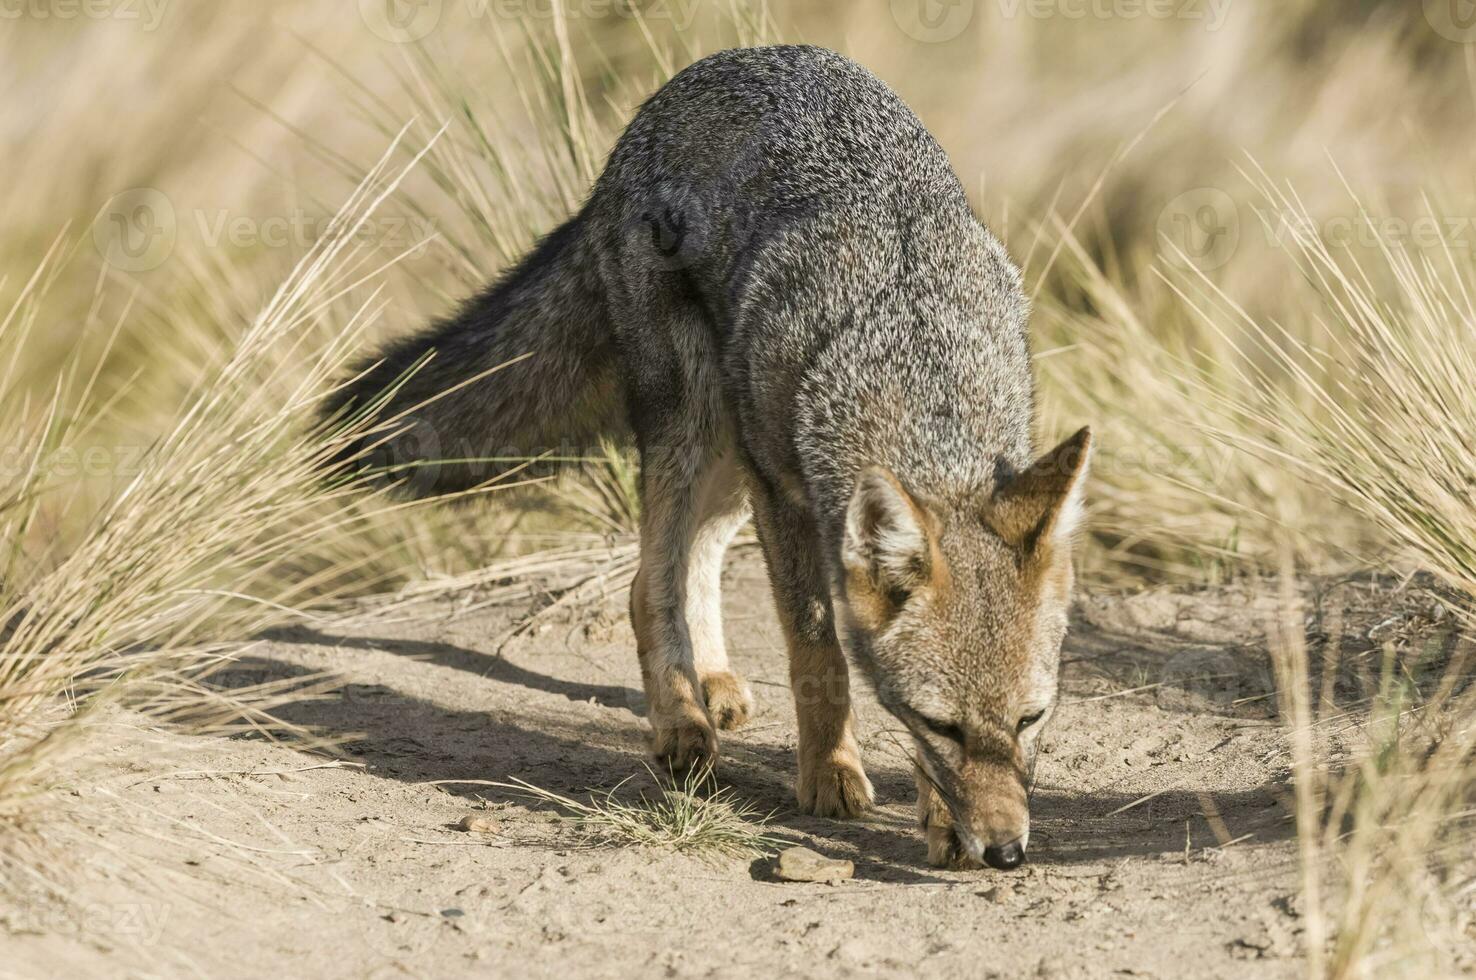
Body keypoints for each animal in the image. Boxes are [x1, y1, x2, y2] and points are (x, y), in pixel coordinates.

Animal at [323, 47, 1086, 873]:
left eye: (1031, 720)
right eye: (942, 724)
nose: (1006, 851)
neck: (914, 357)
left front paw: (941, 821)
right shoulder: (787, 497)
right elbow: (818, 655)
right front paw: (830, 774)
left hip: (729, 453)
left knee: (686, 559)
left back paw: (710, 678)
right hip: (697, 425)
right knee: (648, 582)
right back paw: (680, 721)